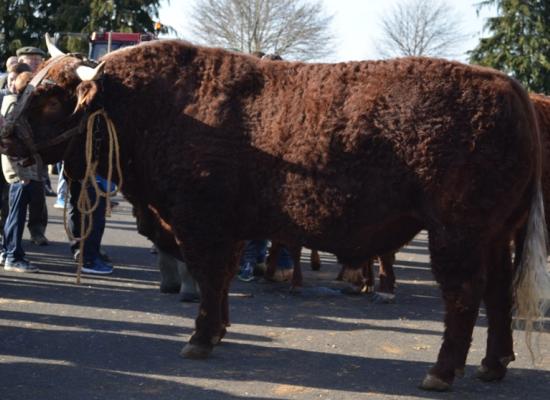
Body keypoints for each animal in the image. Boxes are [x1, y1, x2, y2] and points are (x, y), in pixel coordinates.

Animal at [2, 38, 548, 390]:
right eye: (25, 87)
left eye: (50, 97)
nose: (6, 137)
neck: (151, 104)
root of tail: (511, 87)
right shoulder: (218, 229)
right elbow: (220, 280)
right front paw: (218, 328)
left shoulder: (203, 224)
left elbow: (211, 277)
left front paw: (201, 337)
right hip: (497, 235)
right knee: (498, 295)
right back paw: (493, 364)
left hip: (457, 234)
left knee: (464, 297)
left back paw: (441, 371)